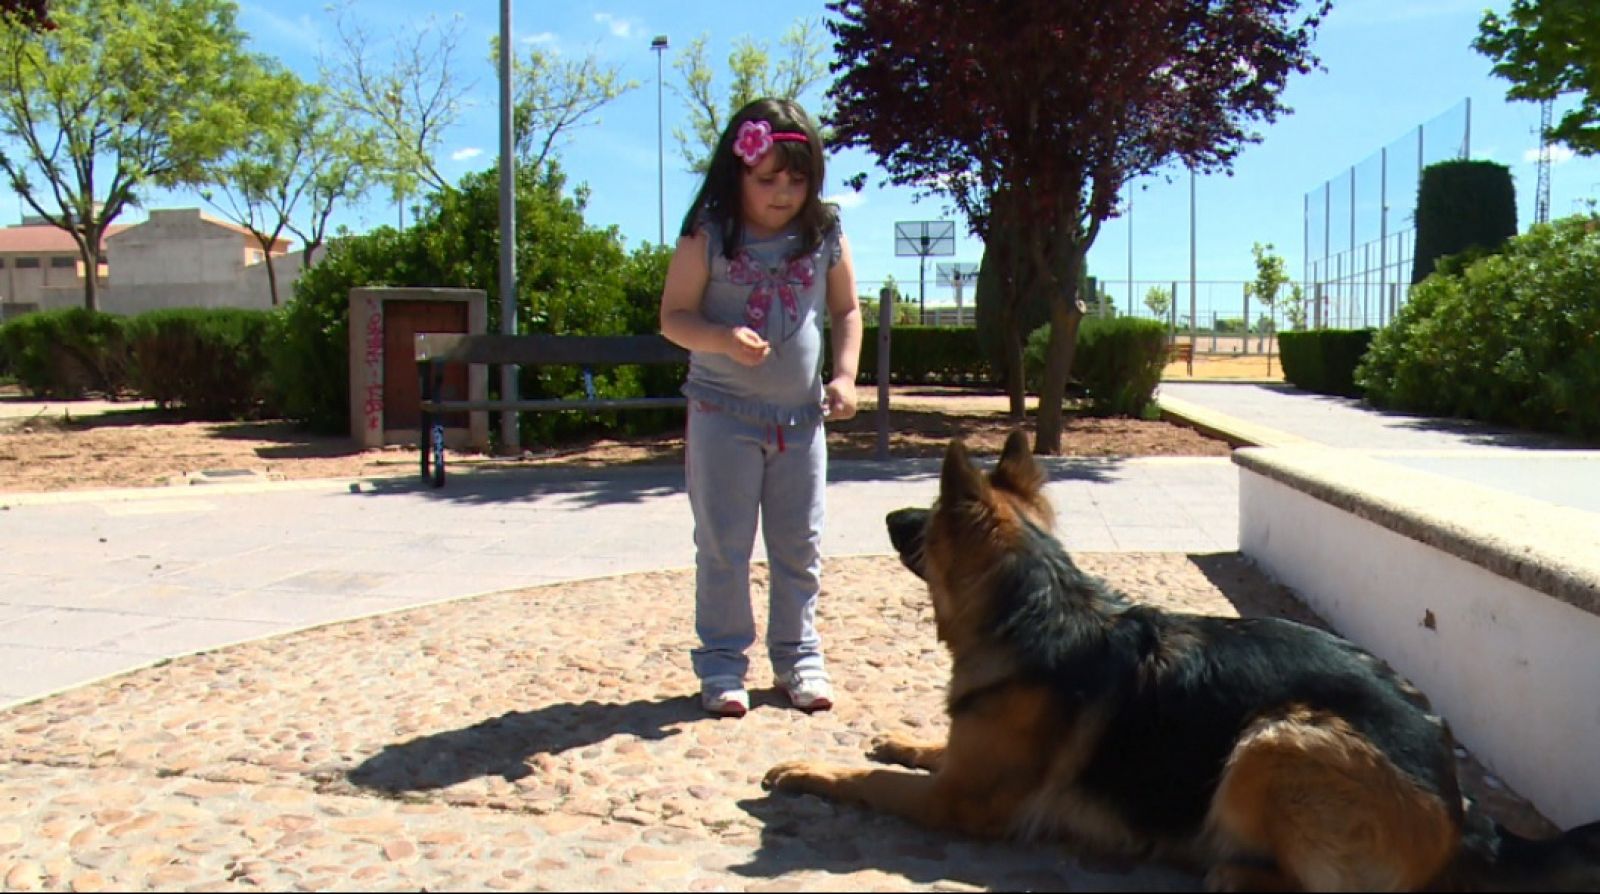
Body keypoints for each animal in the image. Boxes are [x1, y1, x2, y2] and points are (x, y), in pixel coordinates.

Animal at [761, 431, 1600, 889]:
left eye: (928, 517)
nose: (888, 514)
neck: (1037, 606)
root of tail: (1468, 814)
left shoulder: (959, 805)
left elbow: (868, 783)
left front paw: (807, 768)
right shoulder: (966, 763)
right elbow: (927, 749)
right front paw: (899, 736)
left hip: (1275, 741)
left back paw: (1235, 871)